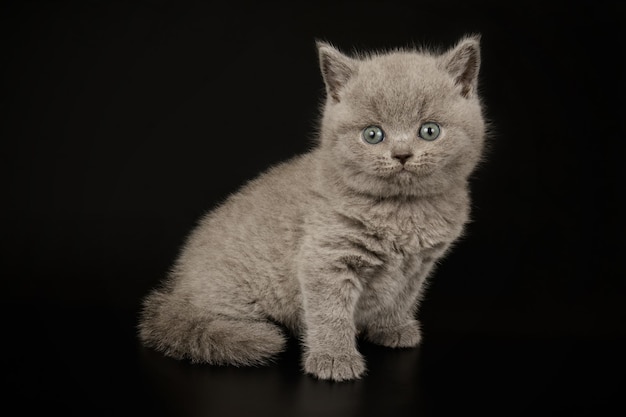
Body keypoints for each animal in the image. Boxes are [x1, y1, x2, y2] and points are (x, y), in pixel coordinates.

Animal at [139, 35, 486, 380]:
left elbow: (402, 296)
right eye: (373, 134)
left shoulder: (418, 266)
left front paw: (391, 328)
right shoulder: (325, 258)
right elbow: (329, 312)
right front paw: (333, 359)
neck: (403, 212)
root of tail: (175, 292)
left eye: (429, 130)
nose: (401, 154)